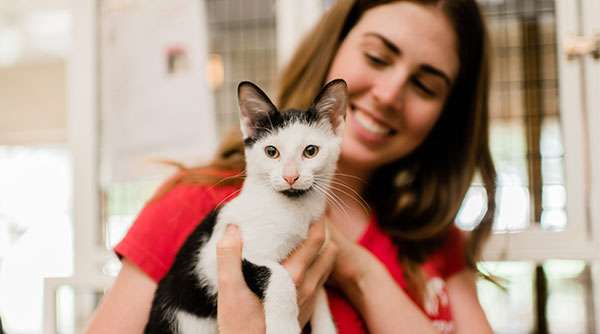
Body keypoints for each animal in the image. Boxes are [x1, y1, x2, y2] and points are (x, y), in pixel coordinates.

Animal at [144, 79, 346, 334]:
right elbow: (279, 277)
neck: (293, 207)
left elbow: (321, 294)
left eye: (311, 151)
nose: (291, 176)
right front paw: (284, 327)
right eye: (271, 152)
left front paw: (325, 326)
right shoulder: (215, 255)